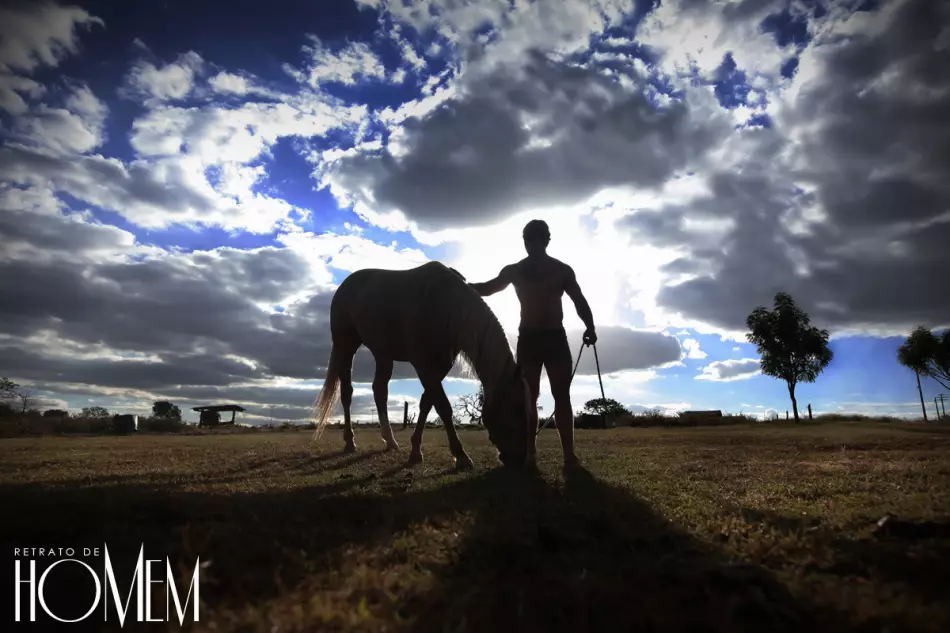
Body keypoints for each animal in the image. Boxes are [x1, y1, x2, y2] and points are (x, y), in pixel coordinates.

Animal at [310, 260, 536, 466]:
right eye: (517, 409)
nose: (518, 459)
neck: (446, 306)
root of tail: (345, 285)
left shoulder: (440, 365)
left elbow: (427, 402)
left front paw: (415, 450)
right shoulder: (424, 365)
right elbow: (443, 406)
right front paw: (461, 455)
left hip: (383, 354)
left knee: (379, 390)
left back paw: (390, 441)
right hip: (346, 346)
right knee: (347, 392)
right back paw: (350, 442)